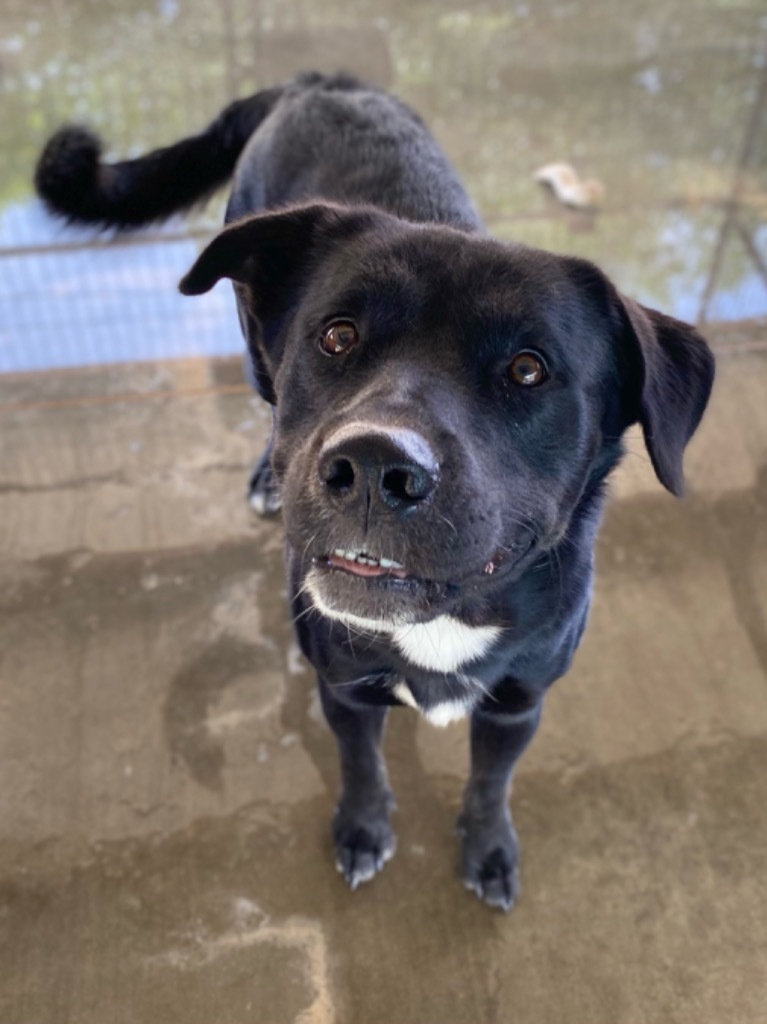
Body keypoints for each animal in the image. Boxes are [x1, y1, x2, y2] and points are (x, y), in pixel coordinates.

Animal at [35, 72, 712, 909]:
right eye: (336, 335)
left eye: (528, 369)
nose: (371, 466)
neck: (445, 617)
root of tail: (320, 80)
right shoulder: (346, 691)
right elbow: (361, 766)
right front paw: (363, 829)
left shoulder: (519, 704)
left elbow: (490, 783)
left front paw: (487, 847)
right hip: (255, 342)